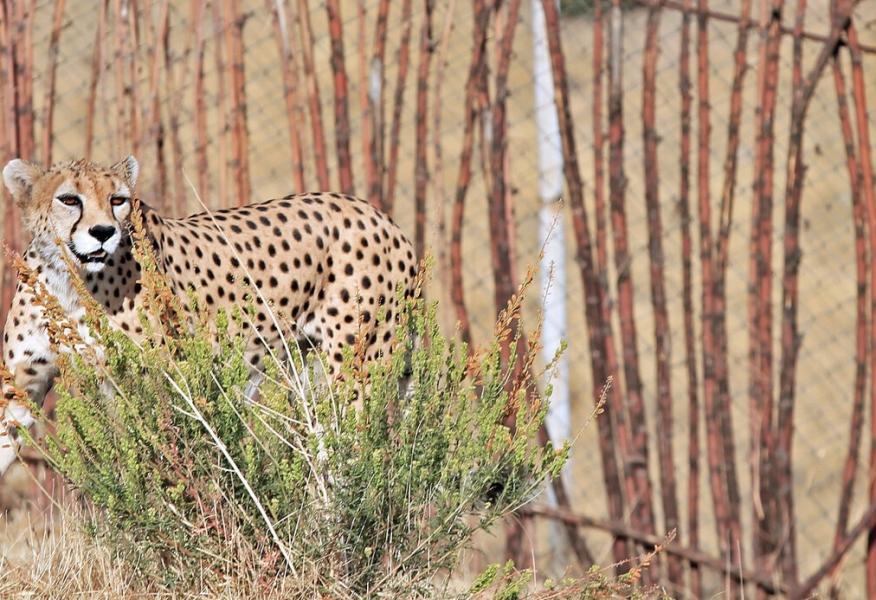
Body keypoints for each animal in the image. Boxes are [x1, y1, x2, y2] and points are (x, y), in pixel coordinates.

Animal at [0, 157, 418, 476]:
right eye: (69, 199)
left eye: (118, 199)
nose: (103, 231)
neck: (69, 282)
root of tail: (380, 216)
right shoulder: (22, 382)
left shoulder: (157, 384)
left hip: (354, 372)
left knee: (357, 460)